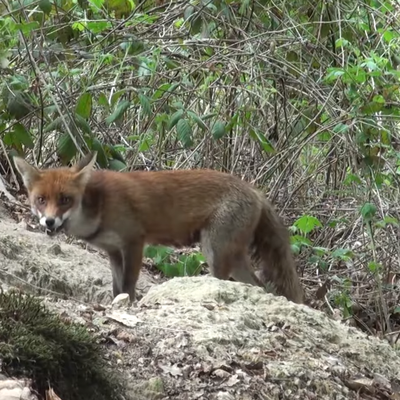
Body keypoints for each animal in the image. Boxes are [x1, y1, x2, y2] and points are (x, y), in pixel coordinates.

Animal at [13, 152, 304, 304]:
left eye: (65, 200)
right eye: (41, 200)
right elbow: (116, 288)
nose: (49, 222)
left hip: (215, 252)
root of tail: (256, 191)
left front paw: (128, 305)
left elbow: (128, 285)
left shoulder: (134, 241)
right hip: (233, 258)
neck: (100, 207)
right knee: (259, 287)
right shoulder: (113, 251)